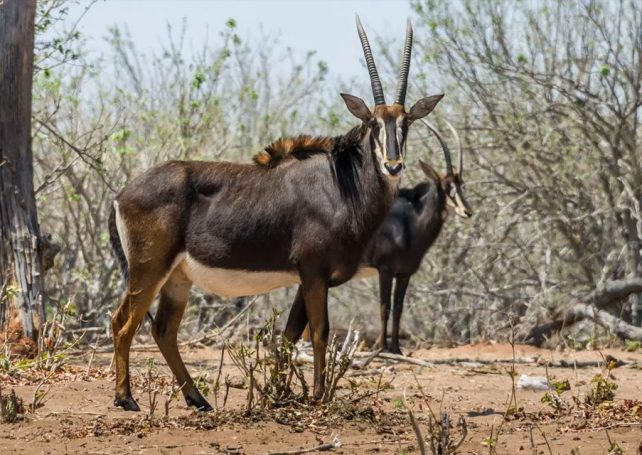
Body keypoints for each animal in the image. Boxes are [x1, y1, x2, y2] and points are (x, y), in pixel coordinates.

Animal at [107, 16, 442, 412]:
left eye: (406, 123)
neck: (341, 183)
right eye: (373, 124)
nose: (393, 165)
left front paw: (278, 394)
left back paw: (198, 399)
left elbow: (289, 335)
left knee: (163, 330)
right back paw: (126, 397)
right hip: (150, 268)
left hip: (177, 277)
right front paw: (317, 397)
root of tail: (122, 193)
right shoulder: (313, 272)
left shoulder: (308, 277)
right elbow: (318, 333)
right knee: (123, 322)